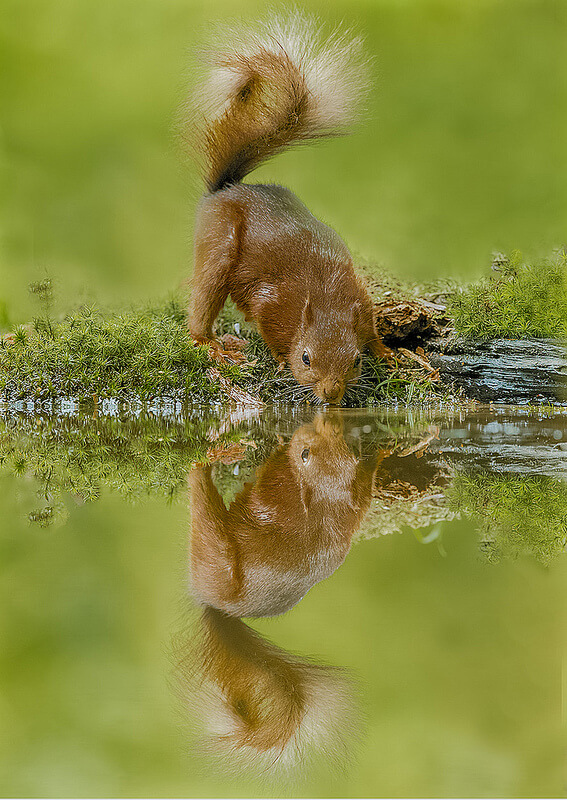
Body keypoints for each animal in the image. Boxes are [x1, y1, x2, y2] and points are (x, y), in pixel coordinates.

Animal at [185, 15, 393, 405]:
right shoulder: (270, 304)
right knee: (202, 302)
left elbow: (371, 330)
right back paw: (210, 343)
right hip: (218, 244)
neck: (325, 298)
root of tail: (228, 188)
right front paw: (281, 361)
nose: (331, 394)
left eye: (356, 361)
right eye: (306, 358)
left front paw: (386, 351)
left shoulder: (361, 301)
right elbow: (269, 332)